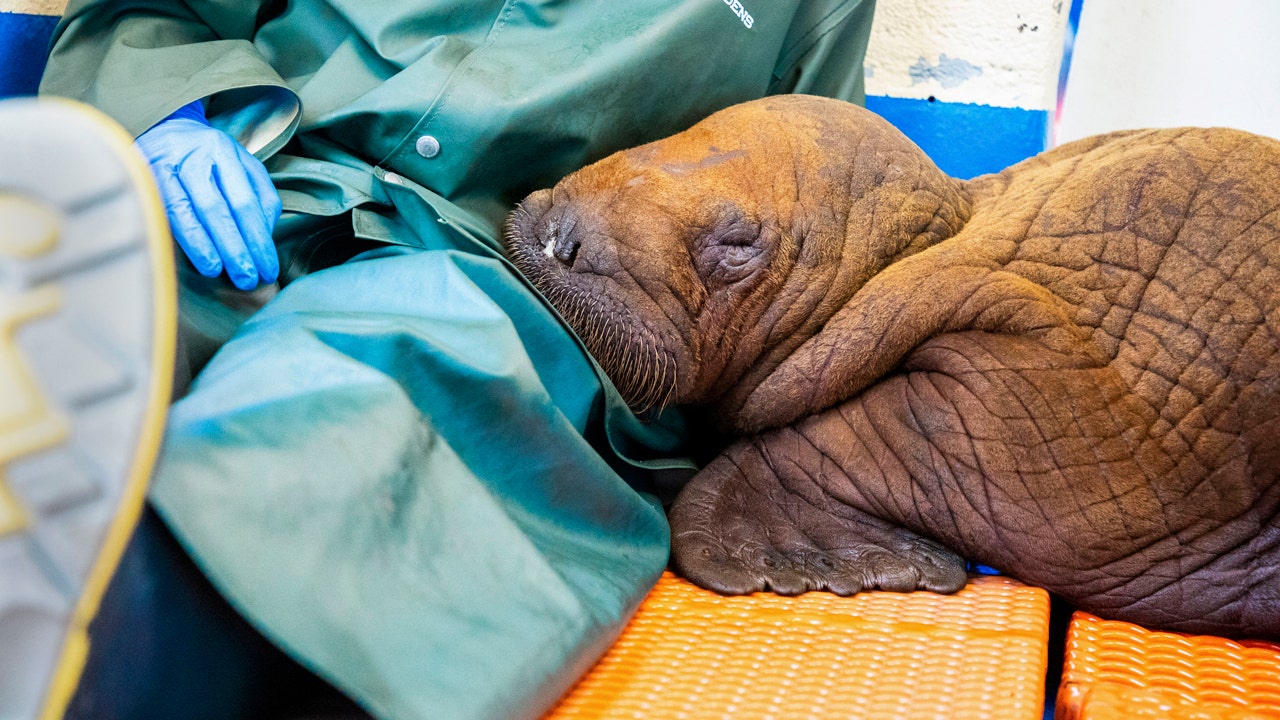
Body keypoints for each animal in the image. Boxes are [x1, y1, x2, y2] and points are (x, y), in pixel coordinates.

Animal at [504, 92, 1280, 635]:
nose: (563, 237)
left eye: (737, 243)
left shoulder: (1072, 404)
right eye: (663, 138)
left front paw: (767, 554)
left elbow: (880, 432)